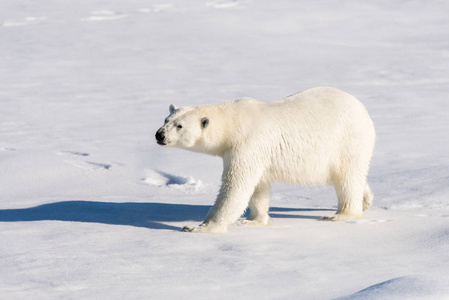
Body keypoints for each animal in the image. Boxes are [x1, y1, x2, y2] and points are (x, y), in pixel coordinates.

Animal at [154, 88, 374, 233]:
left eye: (180, 126)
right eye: (166, 119)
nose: (159, 135)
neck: (234, 124)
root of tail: (363, 110)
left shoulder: (247, 145)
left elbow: (236, 187)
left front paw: (199, 227)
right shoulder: (254, 153)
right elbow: (259, 187)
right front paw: (254, 220)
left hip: (346, 141)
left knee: (347, 177)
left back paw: (341, 214)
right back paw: (365, 199)